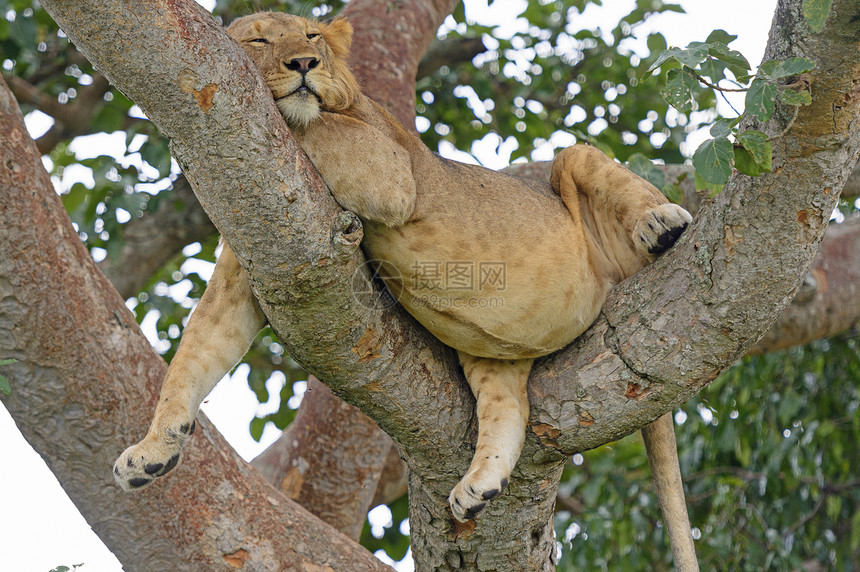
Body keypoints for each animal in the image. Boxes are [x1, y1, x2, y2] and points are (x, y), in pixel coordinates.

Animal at [112, 11, 700, 568]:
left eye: (311, 36)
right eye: (258, 41)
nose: (303, 64)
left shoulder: (390, 171)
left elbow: (315, 124)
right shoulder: (251, 261)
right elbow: (193, 356)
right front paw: (150, 451)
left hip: (575, 171)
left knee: (595, 168)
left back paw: (664, 223)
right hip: (490, 347)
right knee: (508, 408)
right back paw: (479, 487)